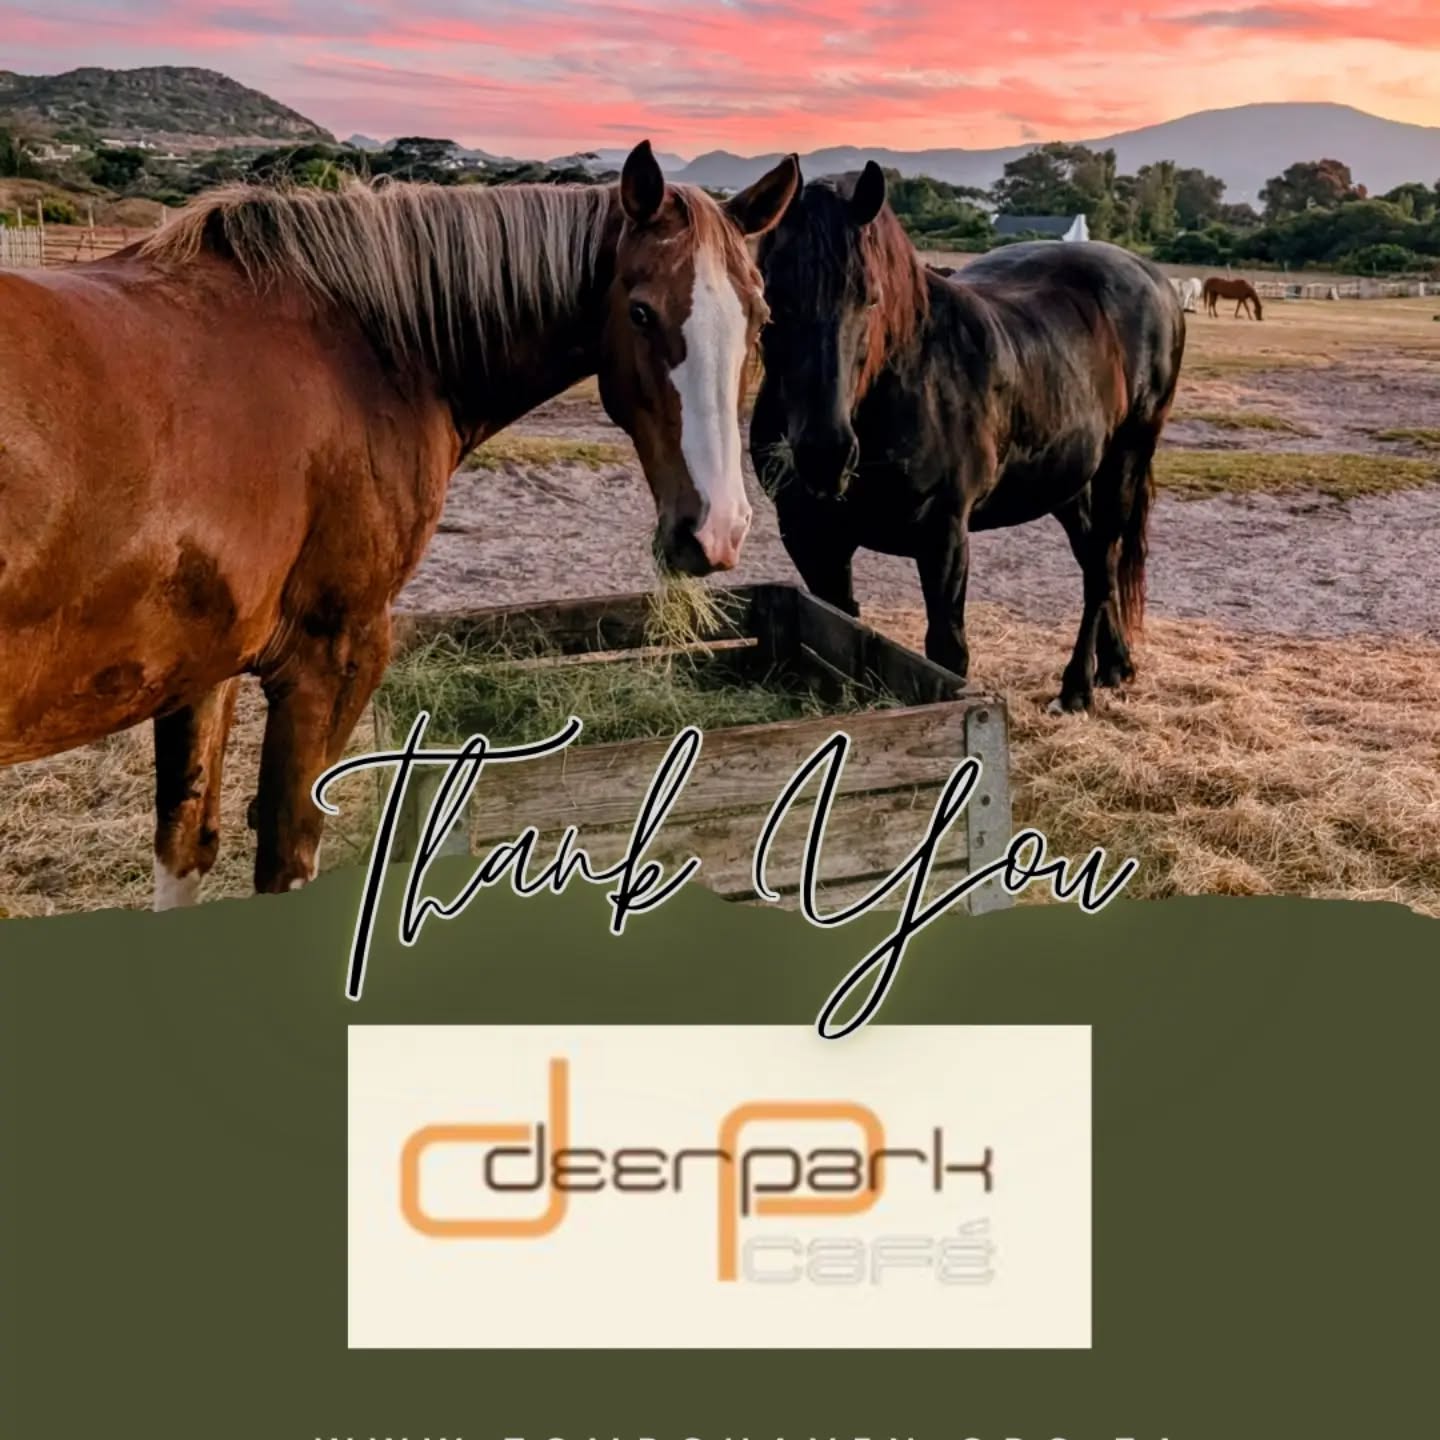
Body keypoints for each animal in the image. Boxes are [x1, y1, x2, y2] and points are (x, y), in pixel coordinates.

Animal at [0, 140, 799, 907]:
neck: (369, 350)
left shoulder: (199, 669)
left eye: (761, 320)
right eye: (640, 312)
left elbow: (183, 844)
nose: (716, 531)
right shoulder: (329, 660)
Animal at [749, 162, 1186, 714]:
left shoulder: (944, 535)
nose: (825, 454)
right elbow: (839, 626)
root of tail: (1152, 278)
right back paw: (1114, 665)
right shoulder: (811, 536)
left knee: (1101, 569)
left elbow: (947, 651)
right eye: (773, 296)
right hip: (1066, 480)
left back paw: (1077, 688)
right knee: (1094, 559)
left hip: (1125, 460)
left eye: (870, 297)